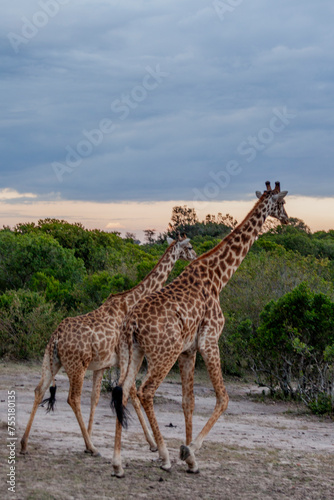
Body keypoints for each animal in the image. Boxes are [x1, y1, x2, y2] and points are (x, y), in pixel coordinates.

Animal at [20, 234, 196, 458]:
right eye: (189, 247)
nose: (195, 256)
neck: (130, 301)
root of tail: (56, 336)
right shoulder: (123, 358)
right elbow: (131, 395)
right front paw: (152, 444)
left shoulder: (102, 365)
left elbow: (95, 398)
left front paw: (89, 437)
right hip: (76, 366)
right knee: (73, 398)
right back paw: (93, 448)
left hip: (51, 360)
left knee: (39, 390)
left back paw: (24, 444)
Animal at [111, 181, 288, 476]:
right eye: (282, 203)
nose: (286, 218)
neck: (219, 277)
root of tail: (131, 323)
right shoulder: (209, 340)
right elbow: (223, 398)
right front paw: (188, 451)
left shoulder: (188, 350)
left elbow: (188, 402)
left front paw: (191, 460)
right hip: (164, 353)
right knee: (145, 391)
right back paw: (164, 456)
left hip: (133, 350)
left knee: (123, 389)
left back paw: (117, 462)